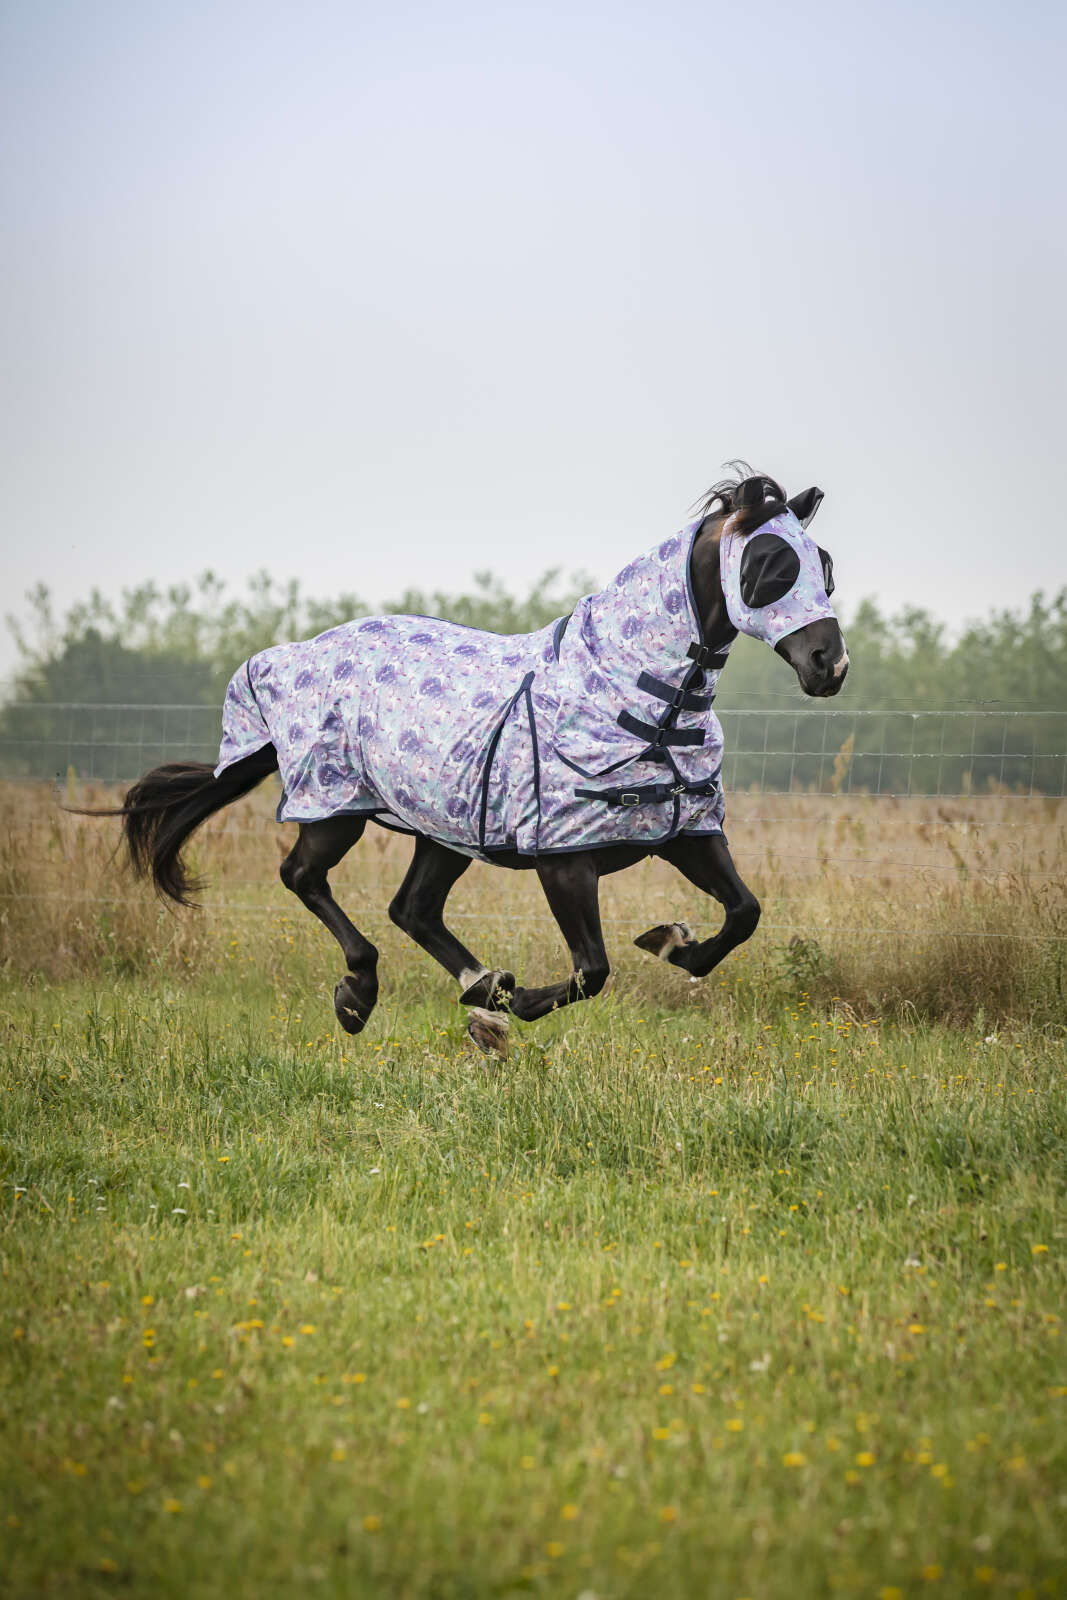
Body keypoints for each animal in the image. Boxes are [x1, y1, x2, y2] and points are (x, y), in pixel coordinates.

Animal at [90, 467, 847, 1055]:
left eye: (825, 569)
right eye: (771, 567)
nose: (829, 666)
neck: (634, 697)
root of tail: (290, 655)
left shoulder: (684, 833)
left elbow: (744, 912)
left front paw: (672, 944)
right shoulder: (562, 861)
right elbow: (592, 970)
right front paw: (522, 1003)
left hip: (446, 829)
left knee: (412, 908)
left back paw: (479, 988)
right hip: (336, 810)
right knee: (303, 877)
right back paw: (364, 994)